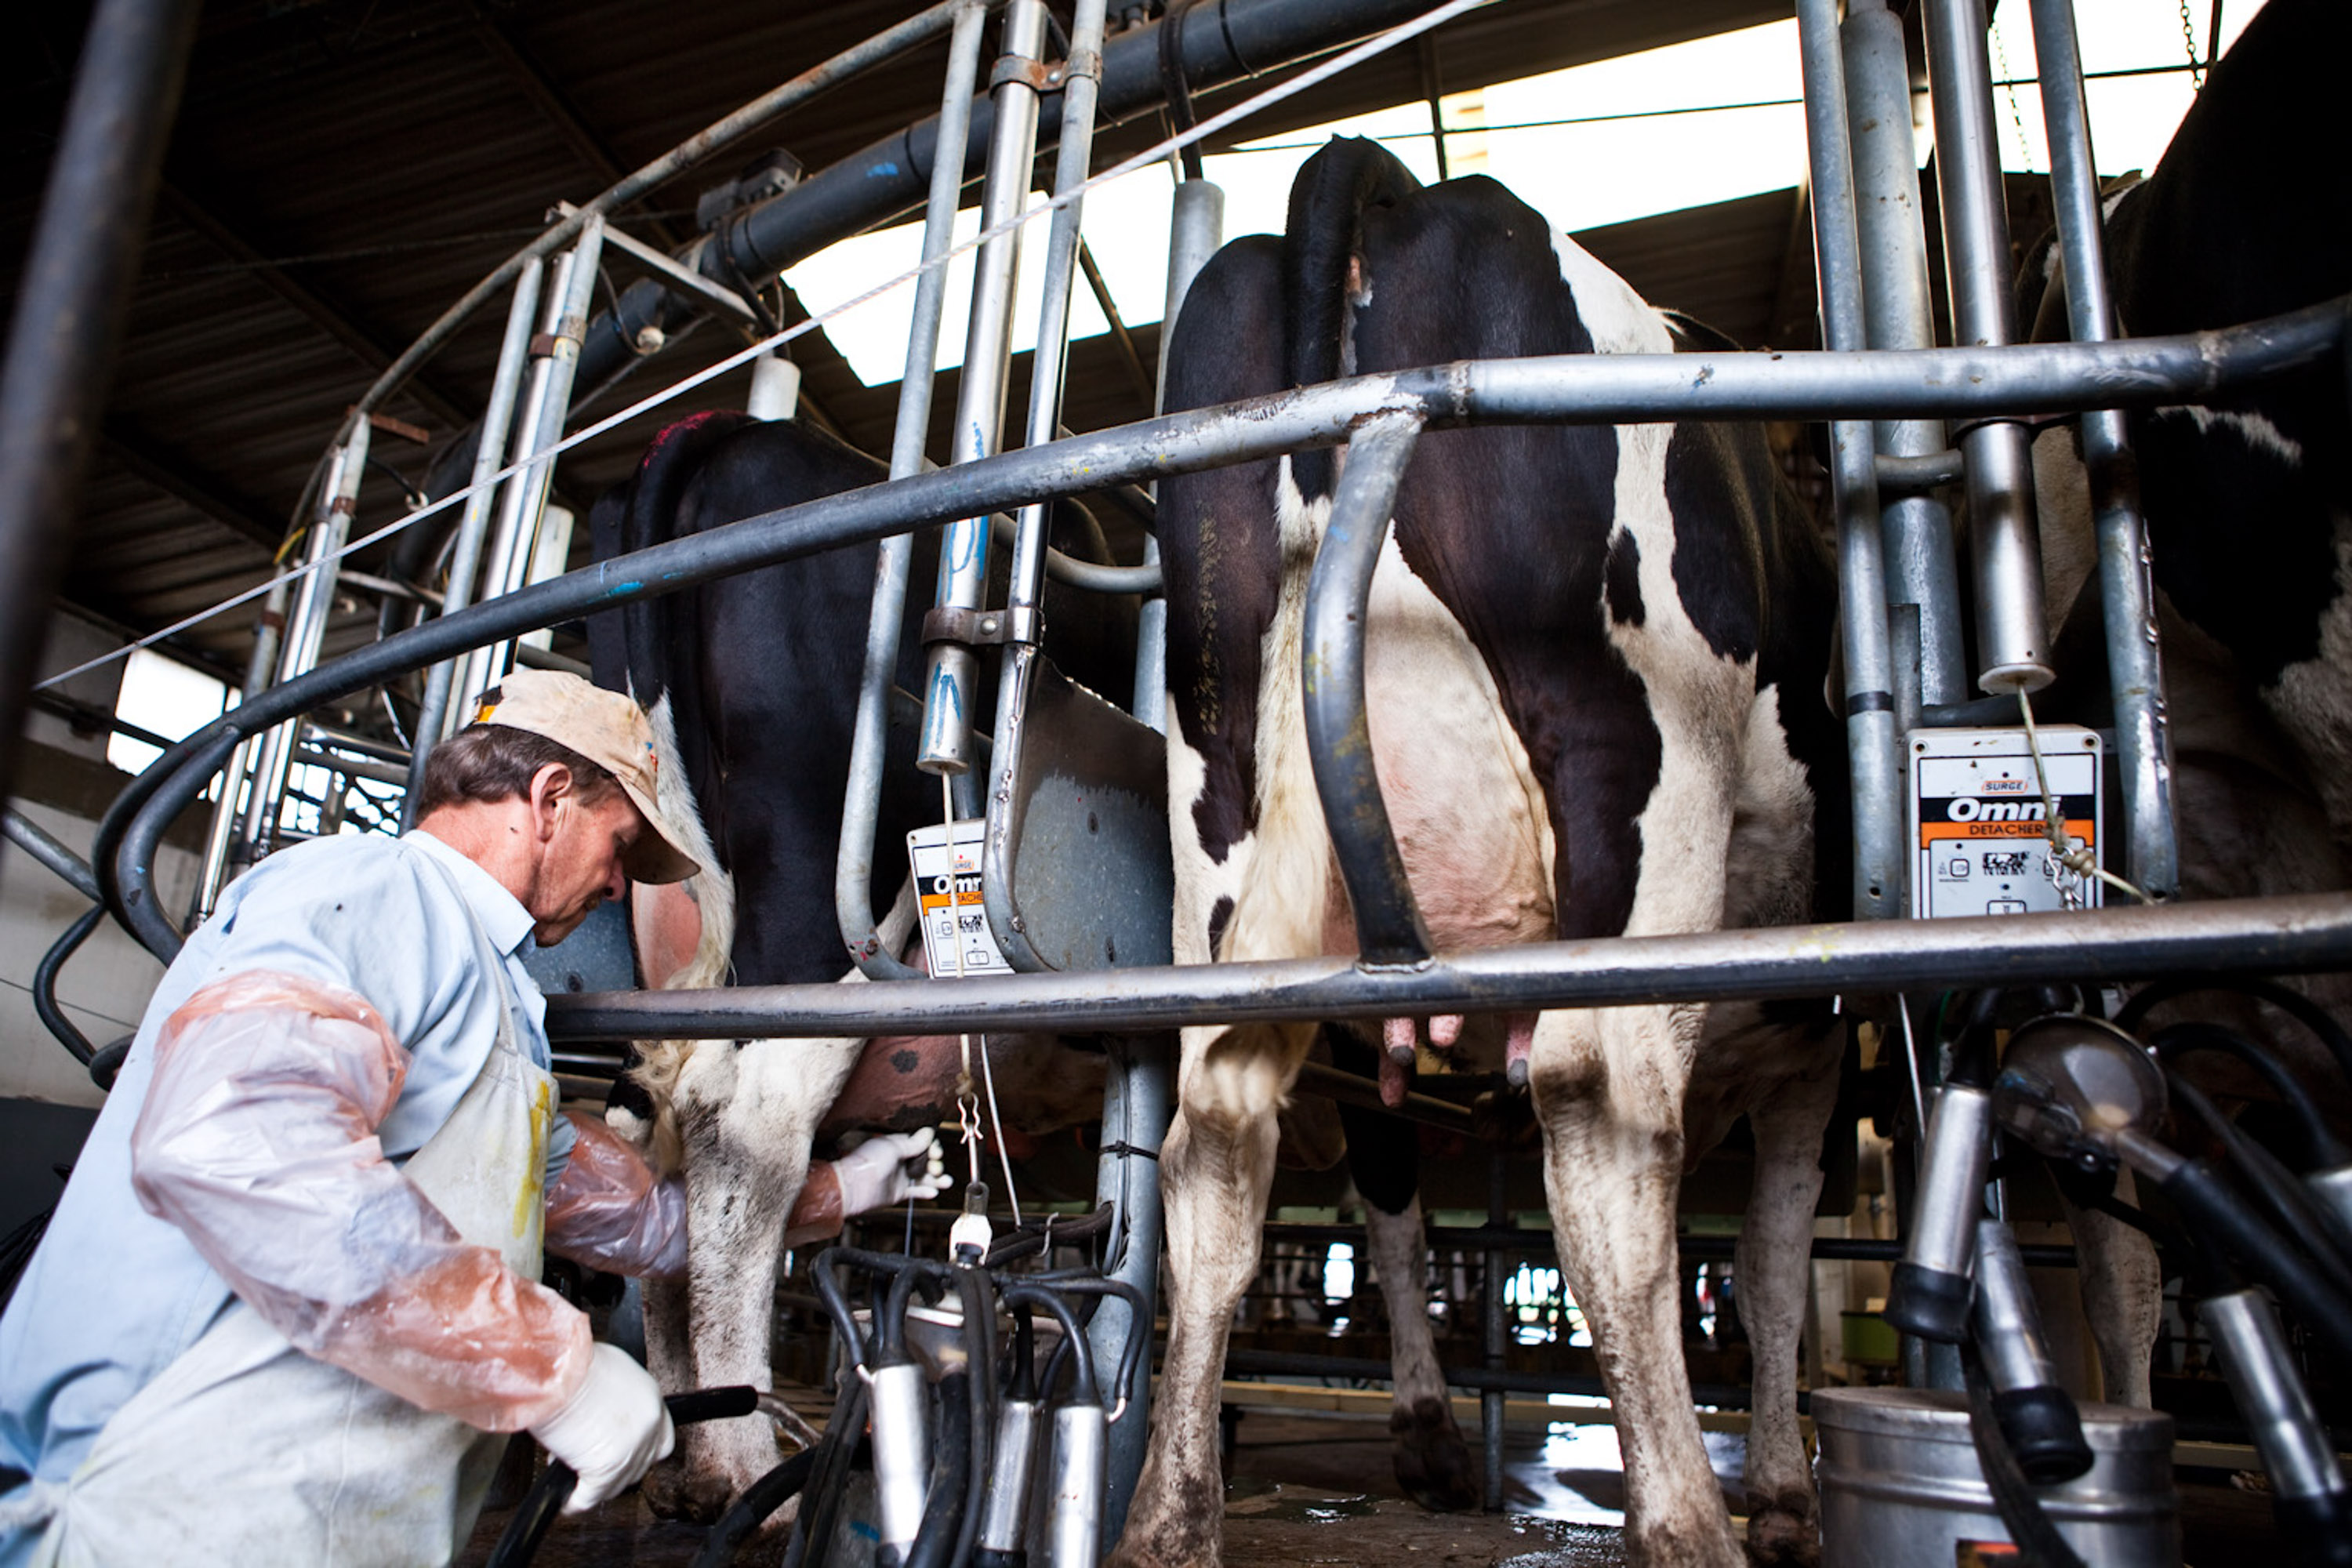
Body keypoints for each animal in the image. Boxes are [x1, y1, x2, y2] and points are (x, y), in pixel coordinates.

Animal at [1115, 138, 1853, 1568]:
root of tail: (1393, 185)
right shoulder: (1815, 1036)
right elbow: (1778, 1261)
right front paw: (1791, 1498)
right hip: (1635, 767)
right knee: (1603, 1122)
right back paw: (1686, 1517)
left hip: (1225, 811)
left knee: (1218, 1138)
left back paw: (1172, 1518)